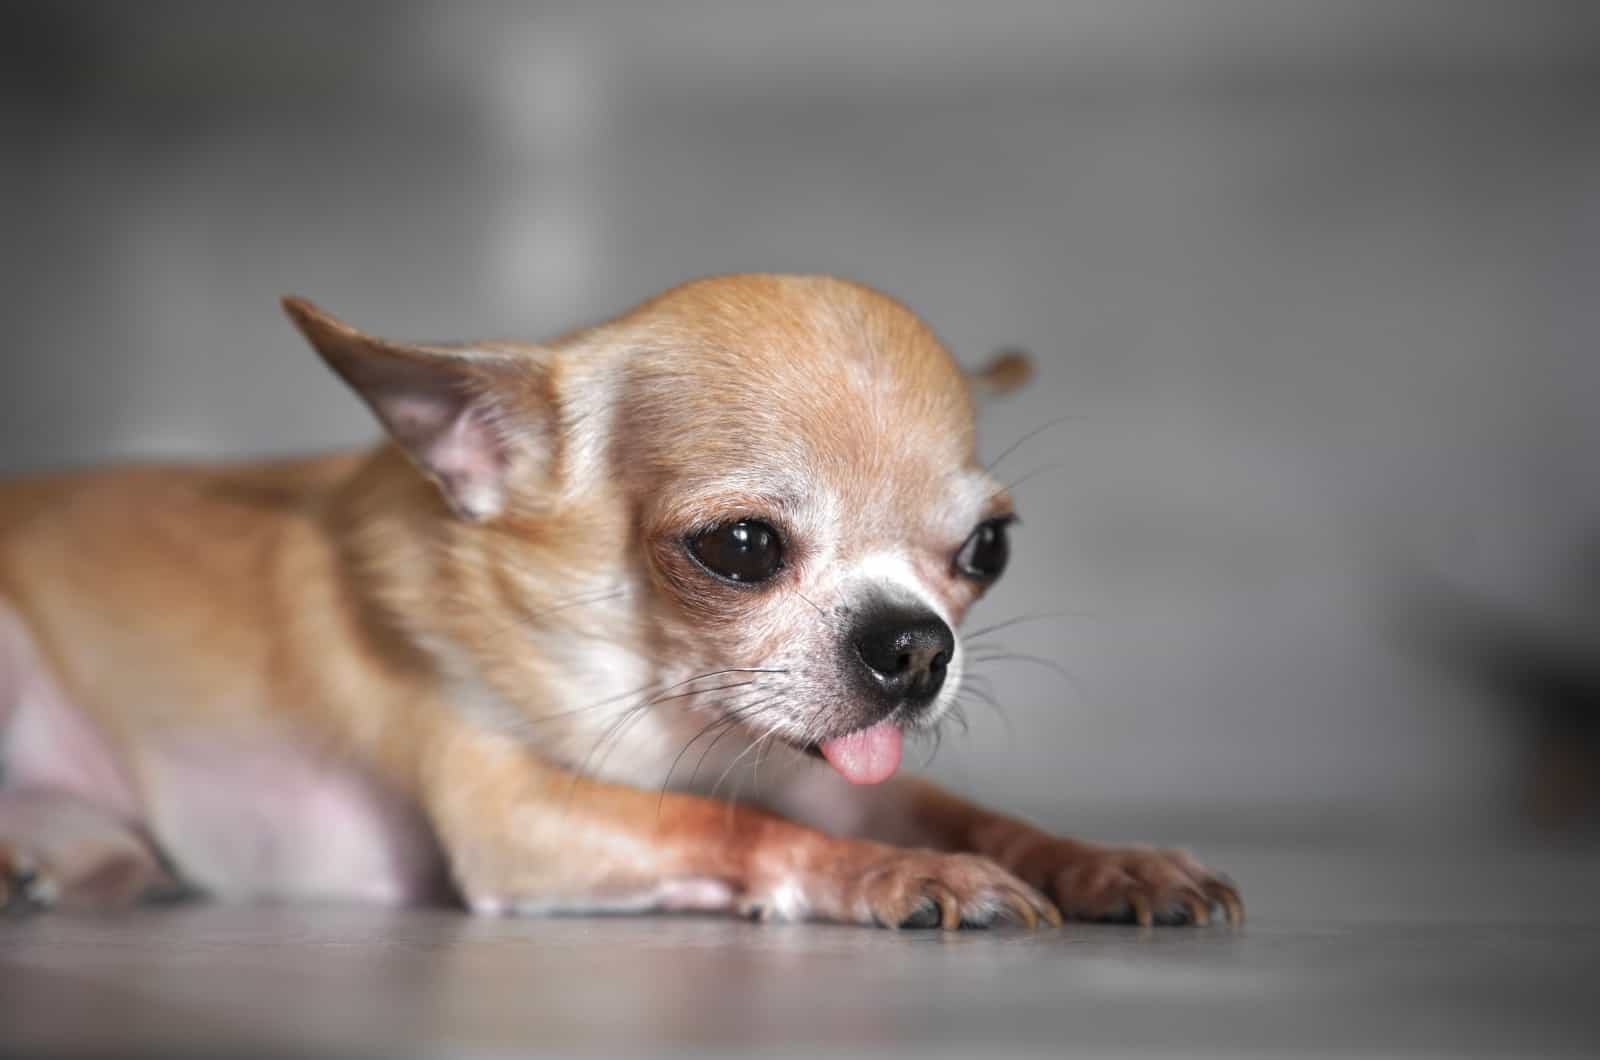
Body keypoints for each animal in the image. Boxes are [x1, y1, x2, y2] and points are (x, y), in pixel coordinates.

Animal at [0, 273, 1241, 928]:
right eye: (738, 547)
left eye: (985, 549)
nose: (915, 646)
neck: (671, 719)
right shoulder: (512, 815)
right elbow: (726, 822)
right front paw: (906, 876)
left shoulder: (832, 772)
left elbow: (972, 813)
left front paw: (1109, 862)